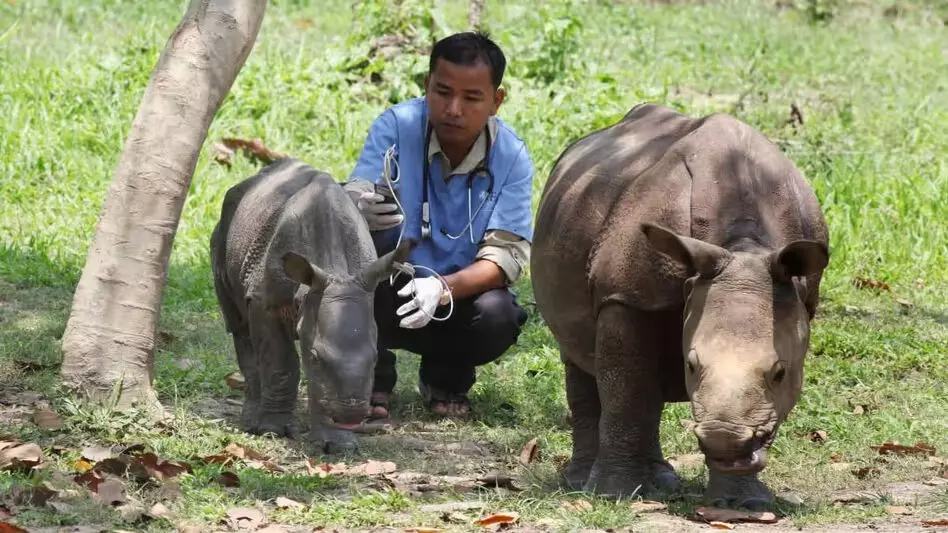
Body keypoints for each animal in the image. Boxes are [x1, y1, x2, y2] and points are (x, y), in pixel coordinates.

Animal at [211, 157, 412, 448]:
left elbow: (321, 383)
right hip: (226, 225)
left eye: (375, 358)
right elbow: (279, 362)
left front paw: (337, 444)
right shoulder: (264, 301)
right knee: (238, 325)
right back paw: (251, 422)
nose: (351, 414)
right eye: (316, 357)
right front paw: (274, 430)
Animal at [532, 103, 828, 508]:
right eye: (691, 365)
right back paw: (584, 484)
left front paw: (744, 506)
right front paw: (612, 495)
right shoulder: (626, 295)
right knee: (585, 359)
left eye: (780, 373)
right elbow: (626, 392)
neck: (745, 246)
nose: (725, 440)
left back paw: (662, 482)